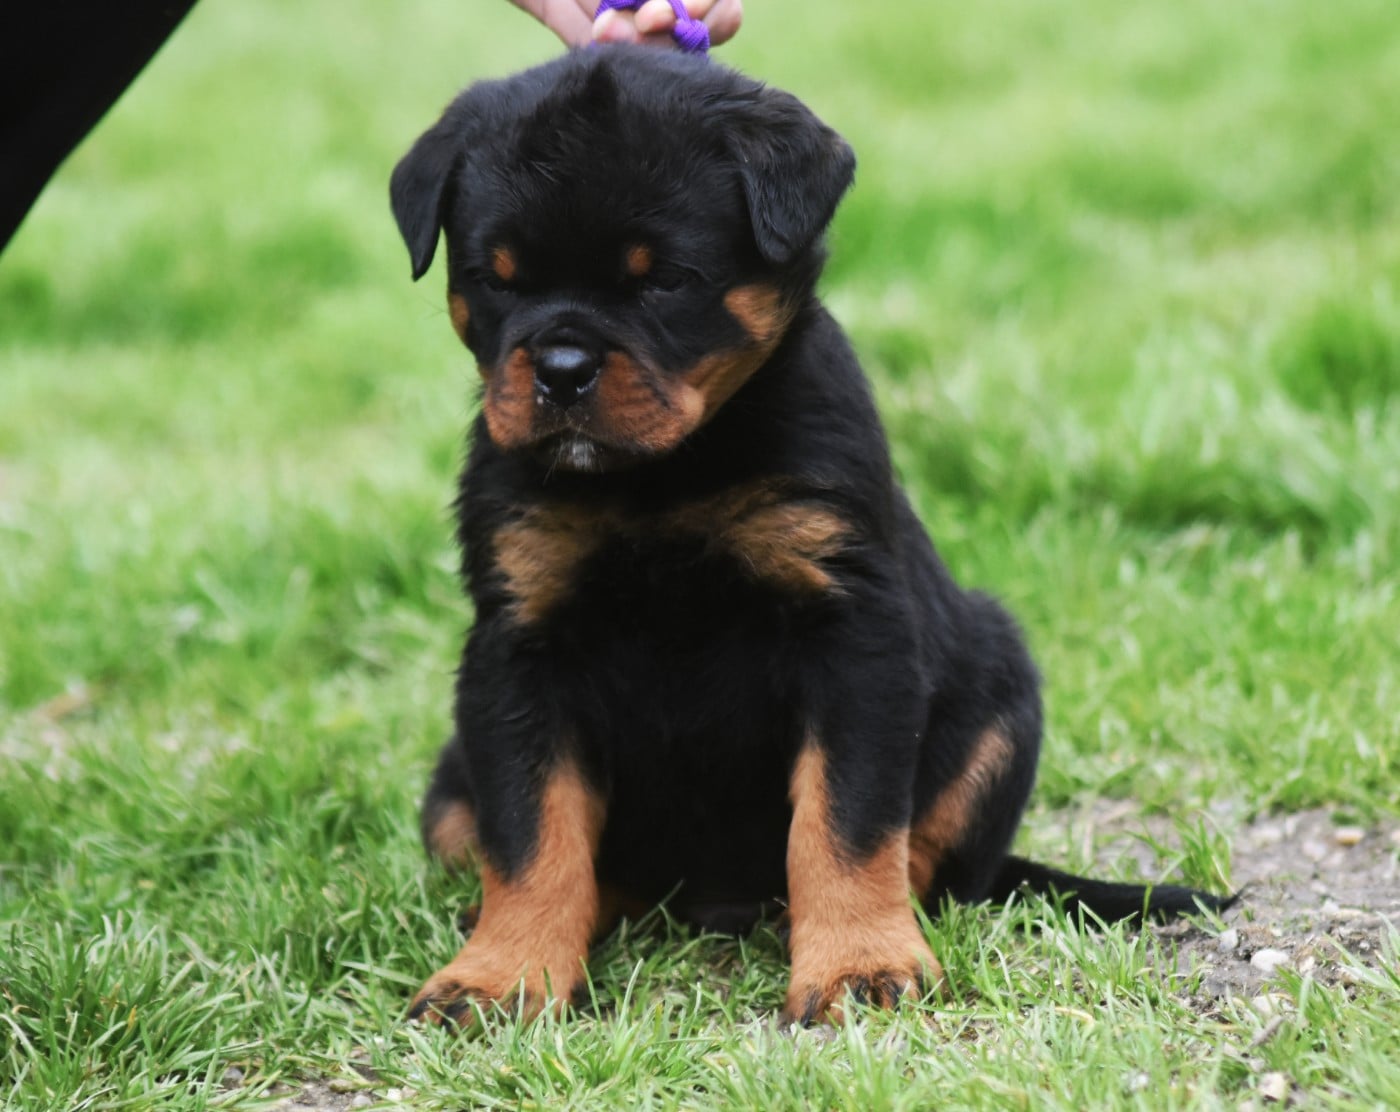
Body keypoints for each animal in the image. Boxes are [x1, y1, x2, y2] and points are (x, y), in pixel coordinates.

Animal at [389, 46, 1230, 1026]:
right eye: (496, 278)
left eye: (663, 278)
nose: (560, 368)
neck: (662, 479)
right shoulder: (518, 648)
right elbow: (531, 837)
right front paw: (502, 977)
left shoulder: (852, 629)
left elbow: (846, 821)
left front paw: (860, 965)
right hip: (452, 785)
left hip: (998, 695)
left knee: (930, 860)